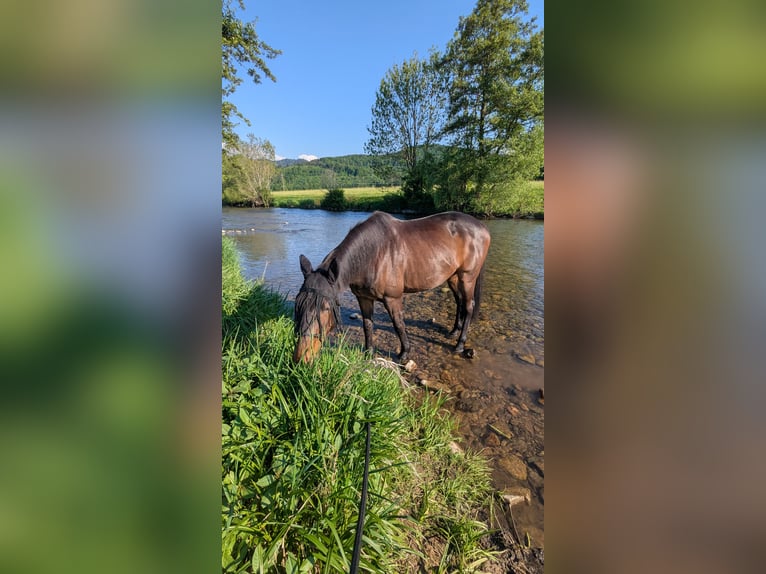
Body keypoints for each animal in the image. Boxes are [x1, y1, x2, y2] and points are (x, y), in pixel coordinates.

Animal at [293, 211, 491, 364]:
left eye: (325, 308)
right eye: (298, 303)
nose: (301, 358)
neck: (372, 254)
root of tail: (482, 228)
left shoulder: (392, 298)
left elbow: (398, 324)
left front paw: (404, 353)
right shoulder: (364, 298)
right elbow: (367, 324)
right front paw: (368, 352)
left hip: (467, 277)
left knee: (468, 306)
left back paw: (459, 344)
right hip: (453, 276)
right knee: (459, 302)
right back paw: (453, 331)